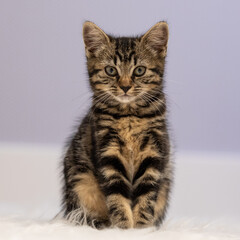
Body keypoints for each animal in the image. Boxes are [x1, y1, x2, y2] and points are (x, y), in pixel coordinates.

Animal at [61, 21, 172, 230]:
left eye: (139, 70)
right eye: (111, 70)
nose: (125, 86)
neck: (128, 115)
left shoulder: (153, 153)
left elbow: (146, 196)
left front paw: (142, 228)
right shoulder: (108, 153)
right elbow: (117, 195)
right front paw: (123, 228)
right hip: (80, 181)